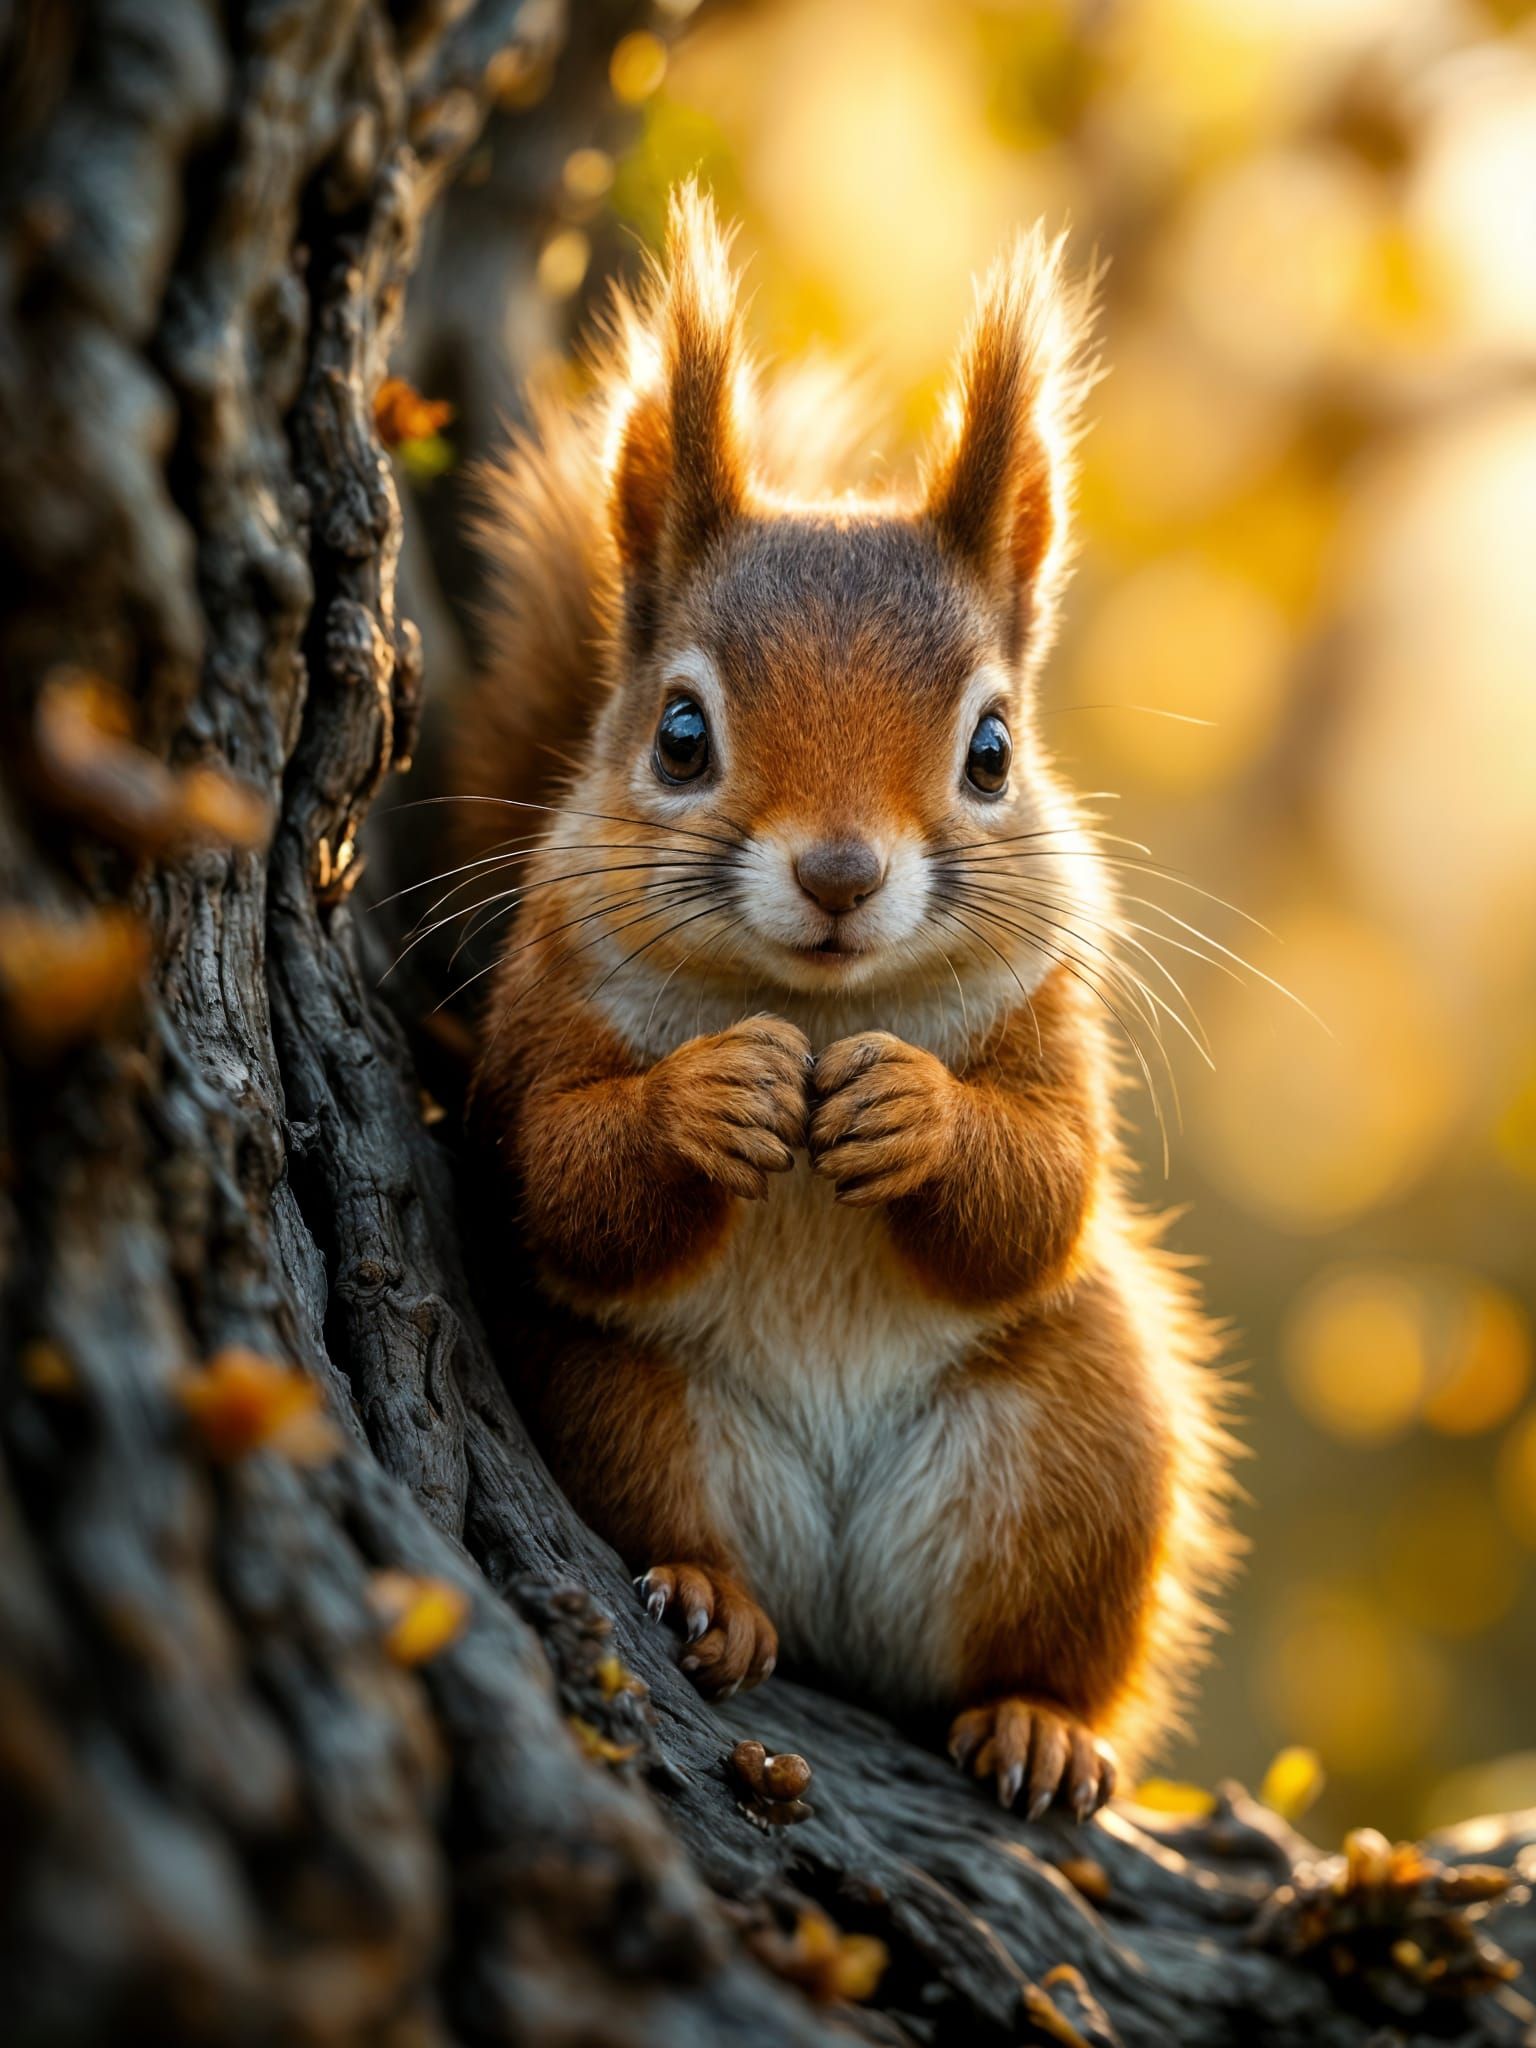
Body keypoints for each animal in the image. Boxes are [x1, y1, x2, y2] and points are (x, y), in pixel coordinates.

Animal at [459, 184, 1238, 1820]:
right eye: (680, 735)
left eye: (993, 750)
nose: (837, 873)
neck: (818, 1007)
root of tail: (834, 1618)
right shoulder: (539, 1010)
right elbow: (555, 1172)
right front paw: (713, 1097)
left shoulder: (1055, 1013)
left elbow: (1047, 1188)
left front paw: (913, 1110)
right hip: (629, 1407)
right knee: (684, 1515)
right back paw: (712, 1594)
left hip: (1079, 1444)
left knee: (1041, 1644)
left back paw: (1035, 1720)